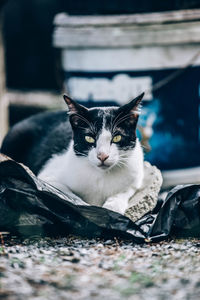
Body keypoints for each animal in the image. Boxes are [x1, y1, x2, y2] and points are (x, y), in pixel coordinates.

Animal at [0, 93, 144, 213]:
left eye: (117, 137)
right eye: (89, 138)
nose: (102, 156)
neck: (102, 176)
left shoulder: (136, 176)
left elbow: (125, 190)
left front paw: (112, 207)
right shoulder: (47, 178)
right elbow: (66, 195)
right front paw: (87, 209)